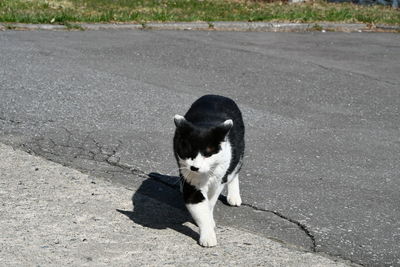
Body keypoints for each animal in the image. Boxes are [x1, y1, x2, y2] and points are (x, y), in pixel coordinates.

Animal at [173, 94, 245, 247]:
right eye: (188, 152)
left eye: (208, 153)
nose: (194, 167)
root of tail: (218, 95)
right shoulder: (190, 180)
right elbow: (198, 205)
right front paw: (208, 234)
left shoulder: (218, 179)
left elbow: (210, 202)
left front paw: (210, 224)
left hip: (239, 150)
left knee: (234, 170)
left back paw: (234, 196)